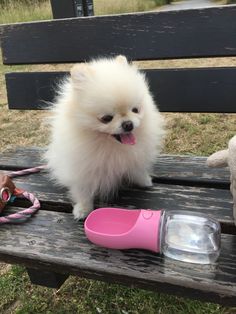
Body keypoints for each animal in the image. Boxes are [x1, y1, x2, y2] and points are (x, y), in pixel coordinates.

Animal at [45, 55, 165, 220]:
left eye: (135, 110)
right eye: (106, 118)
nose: (128, 124)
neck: (110, 146)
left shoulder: (135, 157)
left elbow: (137, 169)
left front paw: (143, 180)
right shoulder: (81, 168)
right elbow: (83, 190)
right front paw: (83, 209)